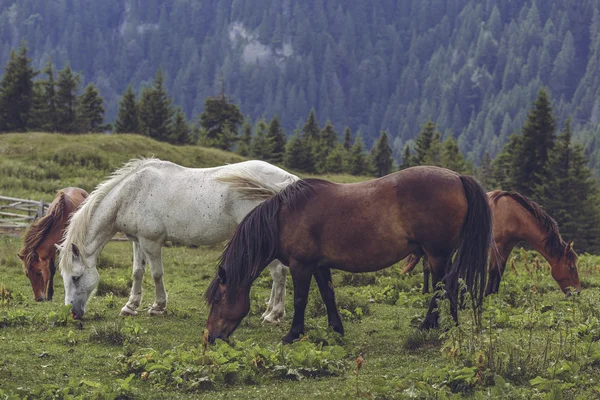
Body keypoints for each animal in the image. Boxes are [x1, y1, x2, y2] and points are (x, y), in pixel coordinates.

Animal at [57, 158, 296, 320]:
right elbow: (137, 272)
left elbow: (156, 274)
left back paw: (274, 315)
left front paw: (158, 306)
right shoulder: (137, 240)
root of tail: (288, 181)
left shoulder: (151, 241)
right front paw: (130, 306)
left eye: (76, 277)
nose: (72, 313)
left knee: (278, 273)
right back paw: (269, 311)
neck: (131, 192)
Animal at [205, 166, 492, 344]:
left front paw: (292, 335)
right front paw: (336, 329)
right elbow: (328, 296)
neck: (285, 217)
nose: (210, 336)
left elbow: (300, 300)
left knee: (445, 288)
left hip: (437, 255)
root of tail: (457, 177)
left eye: (218, 299)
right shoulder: (319, 265)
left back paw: (435, 325)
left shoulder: (301, 265)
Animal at [404, 191, 580, 296]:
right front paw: (488, 293)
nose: (577, 292)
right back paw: (428, 291)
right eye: (571, 267)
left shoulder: (508, 246)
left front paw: (494, 293)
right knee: (428, 267)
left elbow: (500, 270)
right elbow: (493, 270)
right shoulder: (497, 245)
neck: (513, 215)